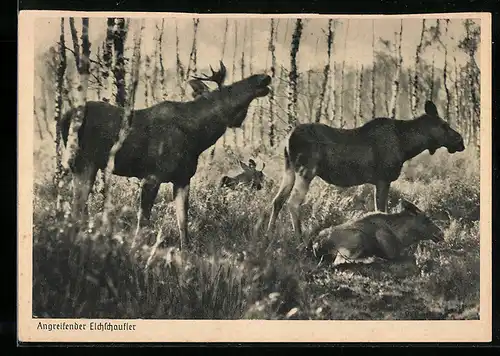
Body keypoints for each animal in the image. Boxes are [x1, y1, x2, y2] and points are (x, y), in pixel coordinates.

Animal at [60, 61, 272, 252]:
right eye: (228, 88)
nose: (263, 77)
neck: (197, 138)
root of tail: (64, 117)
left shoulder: (183, 178)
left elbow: (183, 222)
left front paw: (186, 252)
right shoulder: (152, 176)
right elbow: (144, 221)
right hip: (83, 162)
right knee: (76, 208)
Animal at [266, 100, 464, 239]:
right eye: (444, 125)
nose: (461, 141)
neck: (407, 146)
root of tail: (287, 139)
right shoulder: (383, 179)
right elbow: (382, 210)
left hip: (289, 169)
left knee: (277, 200)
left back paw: (269, 234)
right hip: (306, 170)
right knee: (293, 203)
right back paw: (299, 238)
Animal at [308, 199, 446, 266]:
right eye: (426, 219)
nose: (441, 234)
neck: (402, 235)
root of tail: (316, 244)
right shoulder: (384, 240)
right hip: (357, 238)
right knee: (339, 262)